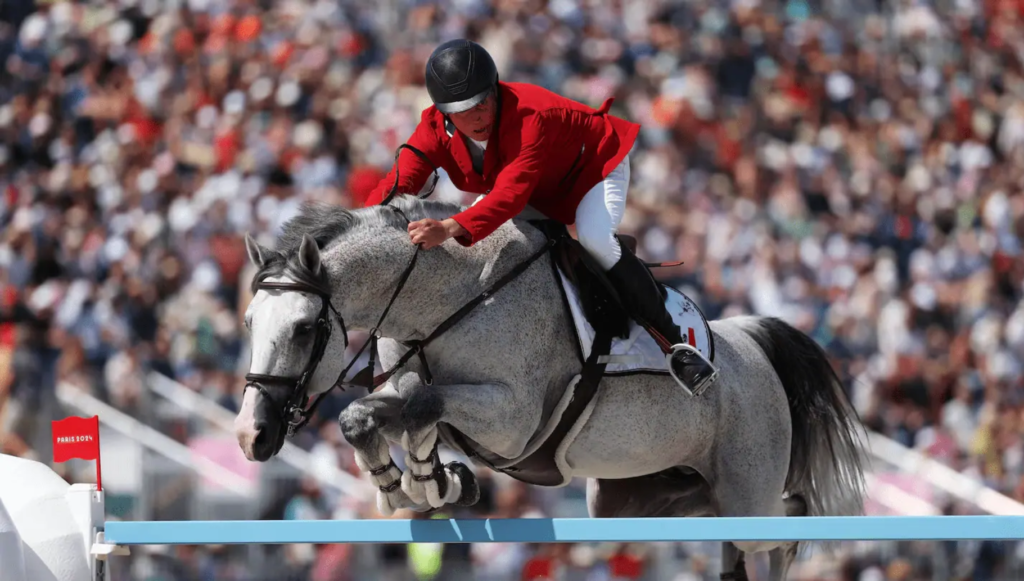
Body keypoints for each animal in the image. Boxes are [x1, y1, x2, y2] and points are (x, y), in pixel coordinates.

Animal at [235, 196, 868, 581]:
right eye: (248, 323)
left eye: (304, 328)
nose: (250, 437)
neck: (445, 300)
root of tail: (751, 342)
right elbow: (371, 415)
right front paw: (420, 484)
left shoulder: (512, 422)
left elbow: (423, 405)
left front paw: (421, 480)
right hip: (633, 500)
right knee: (733, 526)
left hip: (746, 488)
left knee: (784, 524)